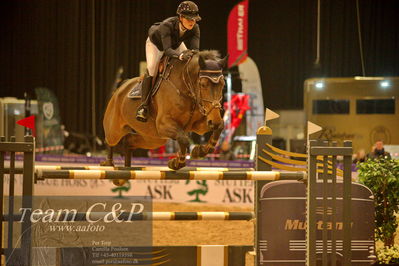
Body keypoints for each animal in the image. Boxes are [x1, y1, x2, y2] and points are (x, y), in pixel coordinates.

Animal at [102, 50, 228, 179]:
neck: (186, 88)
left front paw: (199, 151)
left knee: (129, 142)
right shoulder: (164, 124)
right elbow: (184, 139)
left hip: (153, 138)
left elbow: (220, 127)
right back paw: (108, 164)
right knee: (109, 140)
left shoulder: (198, 125)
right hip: (116, 130)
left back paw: (122, 176)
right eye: (203, 84)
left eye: (223, 84)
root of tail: (120, 88)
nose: (214, 120)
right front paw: (176, 163)